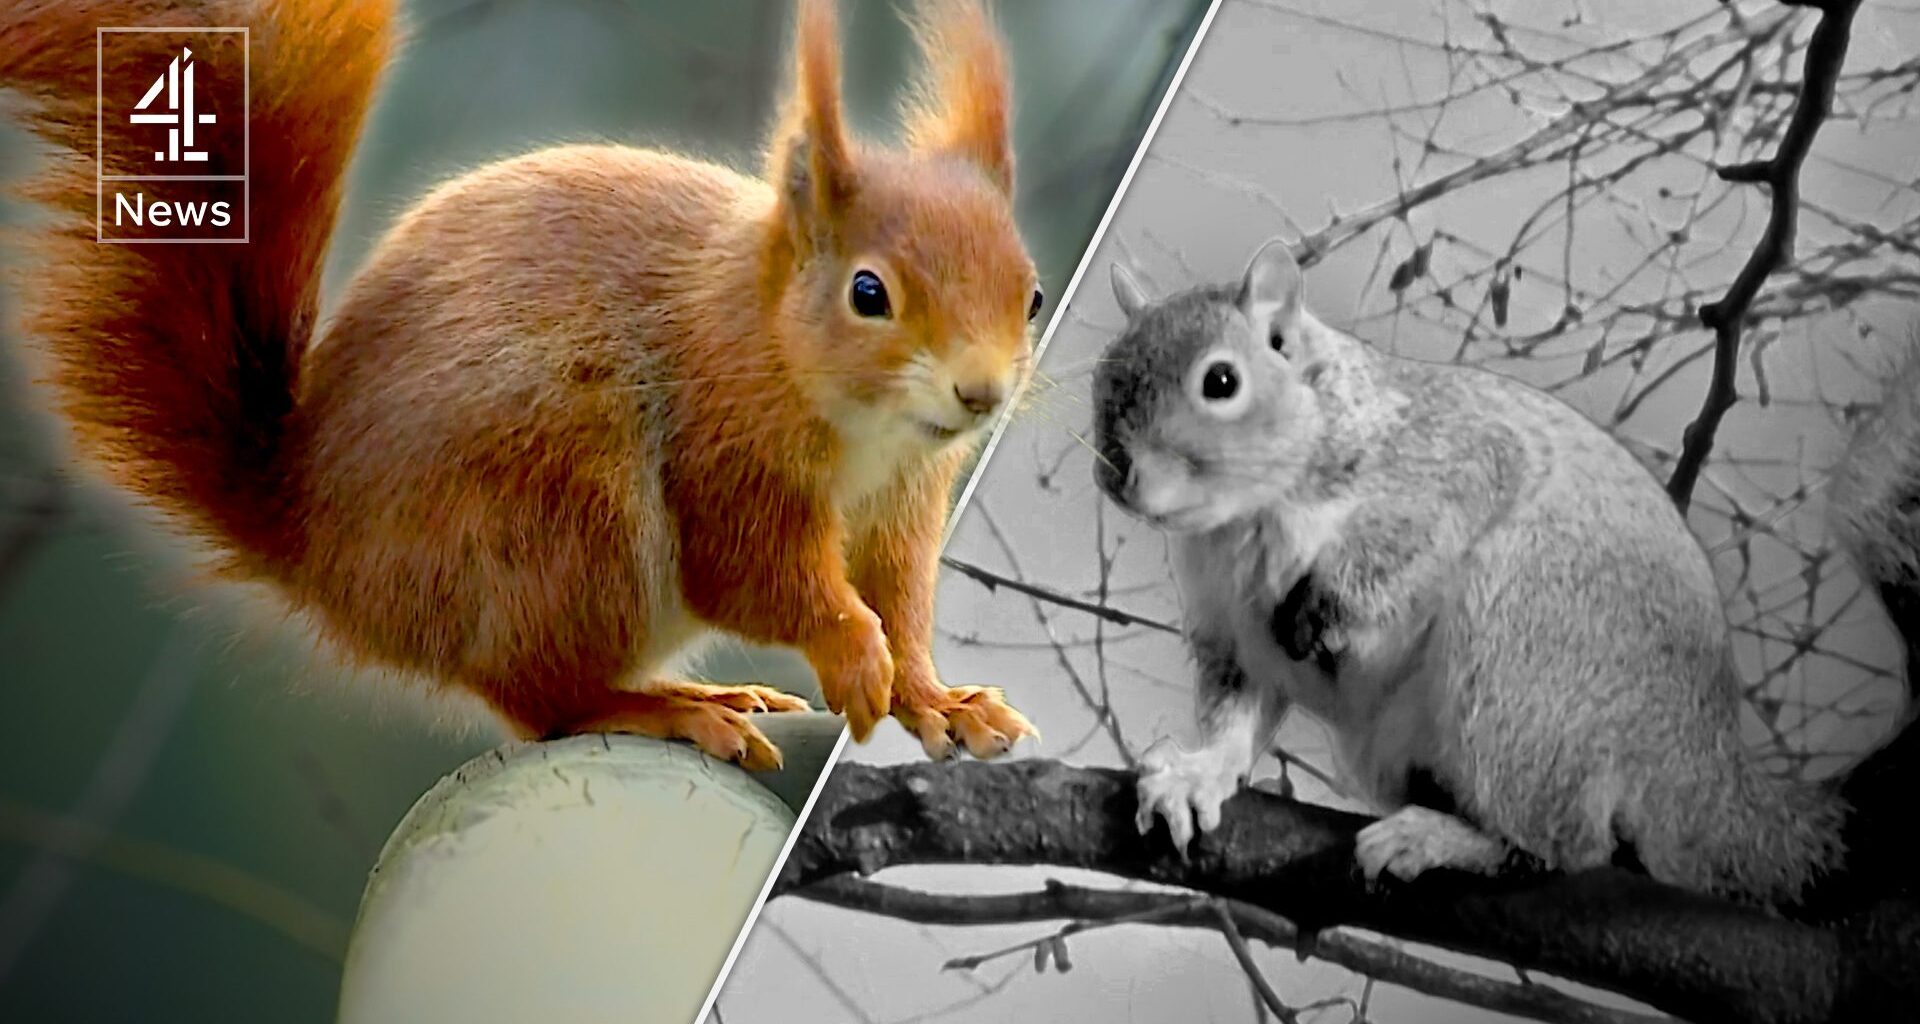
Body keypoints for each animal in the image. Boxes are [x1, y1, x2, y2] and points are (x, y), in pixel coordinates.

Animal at [0, 0, 1040, 771]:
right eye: (869, 293)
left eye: (1031, 296)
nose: (981, 395)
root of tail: (315, 543)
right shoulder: (725, 443)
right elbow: (755, 572)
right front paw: (855, 656)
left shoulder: (904, 504)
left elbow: (902, 601)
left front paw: (936, 698)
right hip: (568, 519)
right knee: (540, 700)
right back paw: (669, 708)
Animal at [1090, 236, 1916, 906]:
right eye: (1104, 375)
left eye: (1221, 382)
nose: (1118, 476)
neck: (1244, 520)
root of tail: (1701, 770)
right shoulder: (1233, 635)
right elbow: (1236, 714)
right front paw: (1196, 776)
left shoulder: (1453, 466)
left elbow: (1402, 547)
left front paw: (1329, 605)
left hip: (1522, 660)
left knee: (1568, 846)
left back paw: (1442, 842)